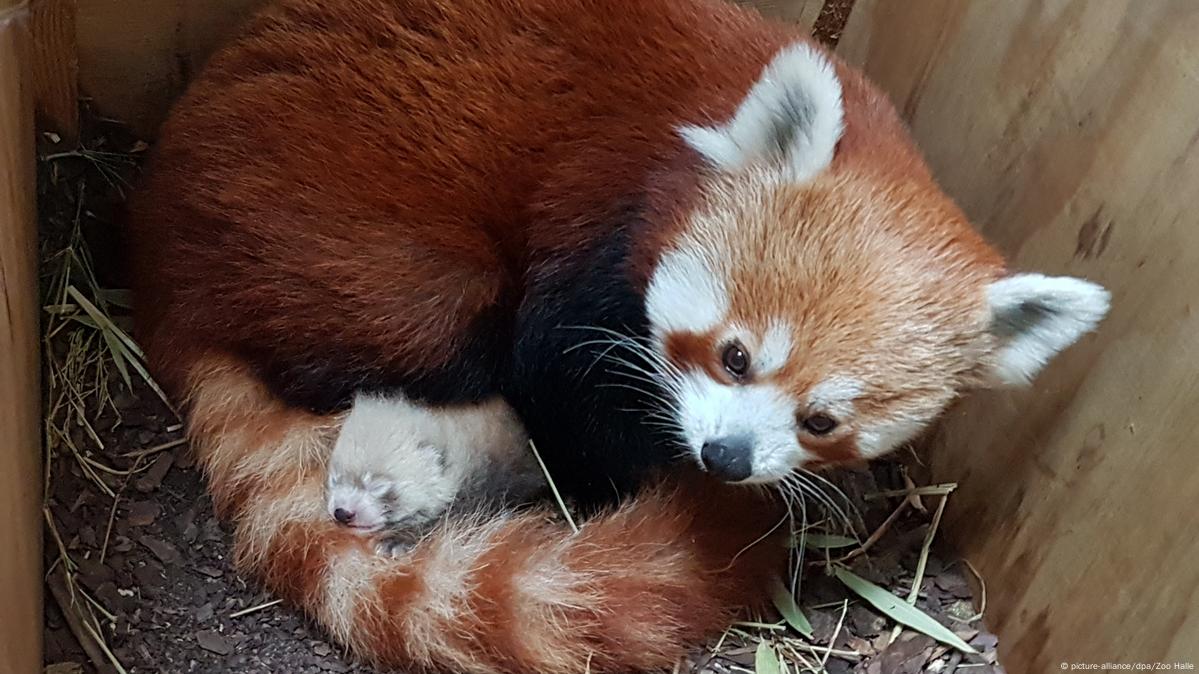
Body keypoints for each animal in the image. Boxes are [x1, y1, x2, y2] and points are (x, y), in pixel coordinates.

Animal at [126, 0, 1107, 666]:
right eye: (734, 356)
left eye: (822, 421)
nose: (724, 461)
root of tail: (159, 264)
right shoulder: (591, 223)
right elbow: (556, 378)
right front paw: (622, 472)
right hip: (359, 253)